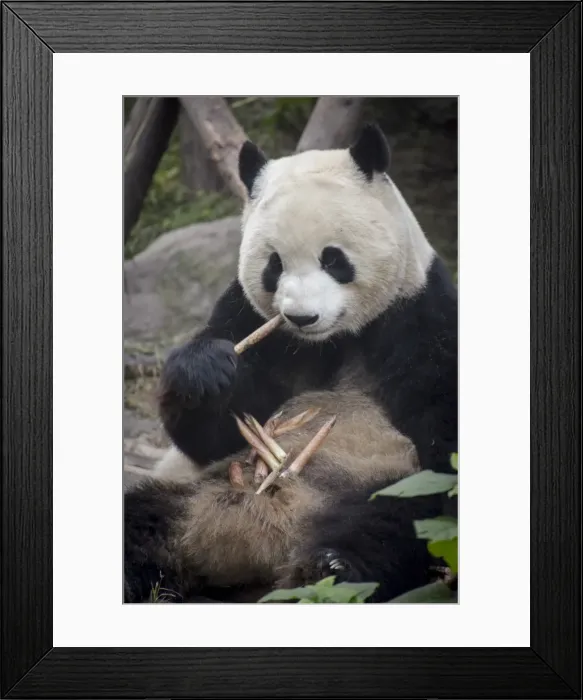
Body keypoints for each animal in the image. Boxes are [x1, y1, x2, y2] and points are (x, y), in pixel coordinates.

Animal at [124, 123, 458, 604]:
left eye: (333, 259)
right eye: (274, 265)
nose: (301, 317)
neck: (331, 341)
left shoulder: (420, 316)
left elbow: (441, 444)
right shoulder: (249, 317)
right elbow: (213, 437)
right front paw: (206, 372)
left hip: (364, 491)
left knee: (389, 521)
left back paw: (328, 567)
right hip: (189, 495)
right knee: (140, 518)